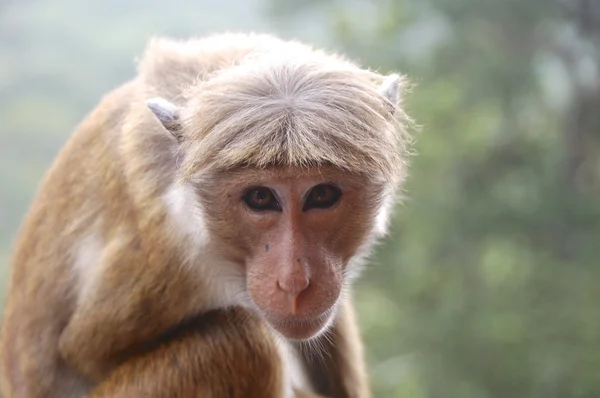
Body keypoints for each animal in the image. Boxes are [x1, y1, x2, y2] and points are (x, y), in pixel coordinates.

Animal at [0, 31, 412, 398]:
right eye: (260, 197)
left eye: (322, 195)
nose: (294, 282)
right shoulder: (163, 261)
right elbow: (85, 351)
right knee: (244, 343)